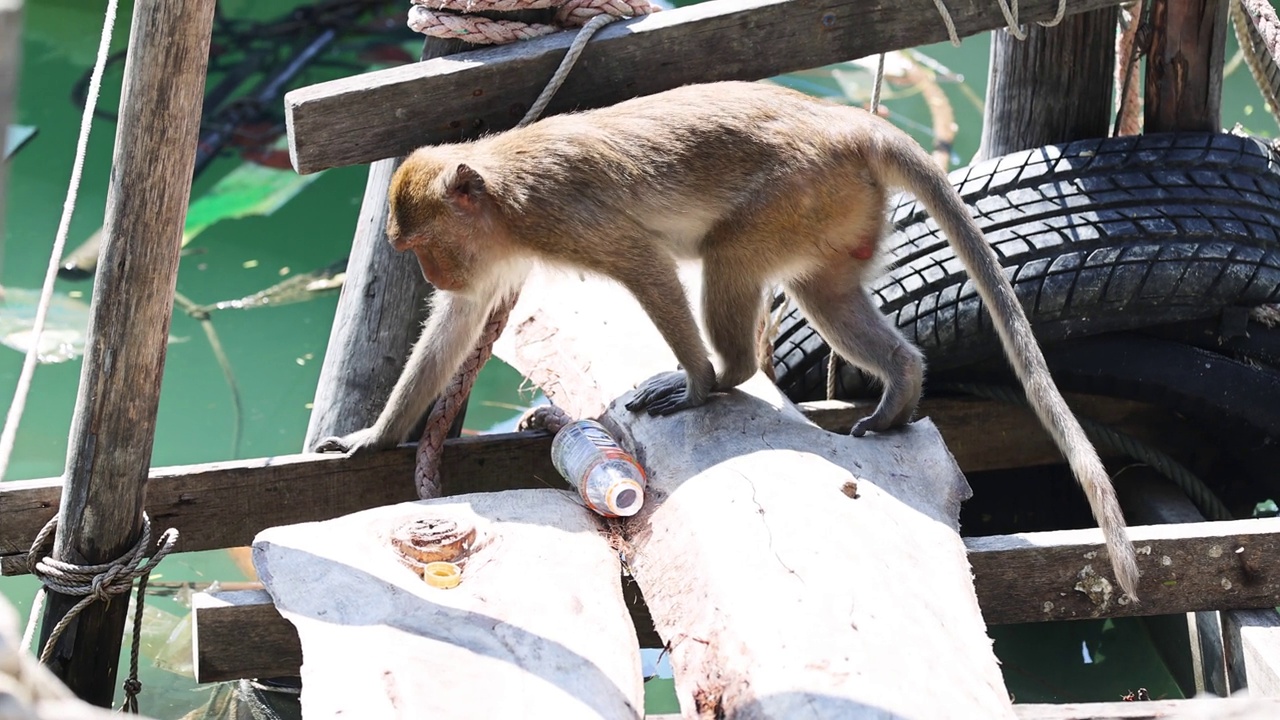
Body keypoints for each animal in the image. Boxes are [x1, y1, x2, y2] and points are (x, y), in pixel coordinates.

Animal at [317, 78, 1141, 597]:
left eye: (424, 246)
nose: (432, 271)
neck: (500, 193)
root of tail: (850, 123)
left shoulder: (557, 216)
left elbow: (644, 264)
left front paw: (696, 383)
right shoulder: (496, 255)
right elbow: (456, 324)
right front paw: (372, 437)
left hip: (795, 193)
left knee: (727, 258)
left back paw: (726, 373)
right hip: (837, 210)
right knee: (826, 292)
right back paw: (900, 388)